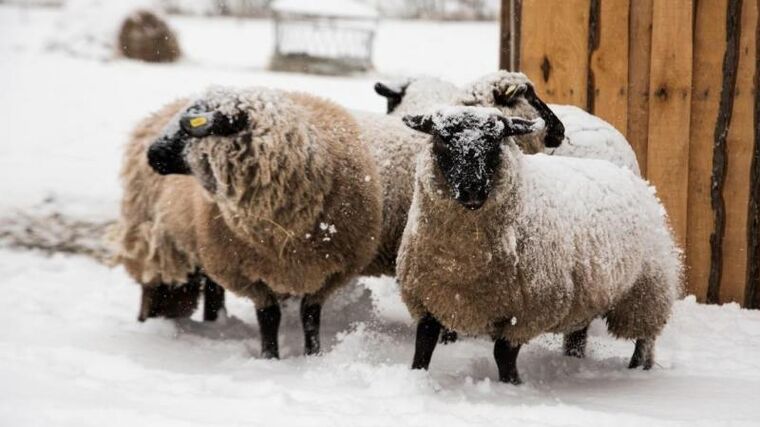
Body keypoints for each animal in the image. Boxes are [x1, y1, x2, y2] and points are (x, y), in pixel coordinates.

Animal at [115, 86, 382, 358]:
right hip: (158, 239)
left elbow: (309, 316)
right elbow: (269, 317)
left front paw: (313, 355)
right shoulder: (244, 273)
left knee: (211, 289)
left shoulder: (334, 272)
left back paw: (214, 321)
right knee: (154, 287)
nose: (152, 154)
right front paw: (270, 357)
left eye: (187, 127)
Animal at [398, 106, 684, 384]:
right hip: (589, 294)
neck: (462, 263)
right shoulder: (425, 300)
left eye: (494, 140)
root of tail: (634, 178)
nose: (472, 190)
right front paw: (417, 378)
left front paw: (512, 385)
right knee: (579, 332)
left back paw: (637, 370)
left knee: (645, 338)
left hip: (647, 289)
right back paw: (574, 359)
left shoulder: (527, 313)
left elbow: (503, 354)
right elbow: (423, 346)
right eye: (443, 139)